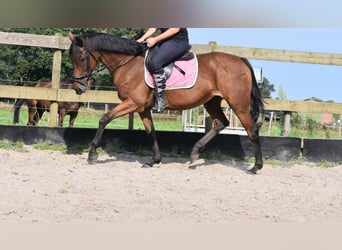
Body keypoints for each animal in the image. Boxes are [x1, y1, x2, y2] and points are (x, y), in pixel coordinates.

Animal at [67, 31, 264, 174]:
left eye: (81, 58)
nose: (78, 88)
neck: (128, 64)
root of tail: (240, 60)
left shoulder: (133, 103)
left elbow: (104, 119)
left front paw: (92, 154)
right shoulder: (143, 109)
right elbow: (151, 133)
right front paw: (154, 160)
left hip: (238, 105)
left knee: (251, 130)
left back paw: (256, 166)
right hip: (212, 101)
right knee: (221, 123)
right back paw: (194, 153)